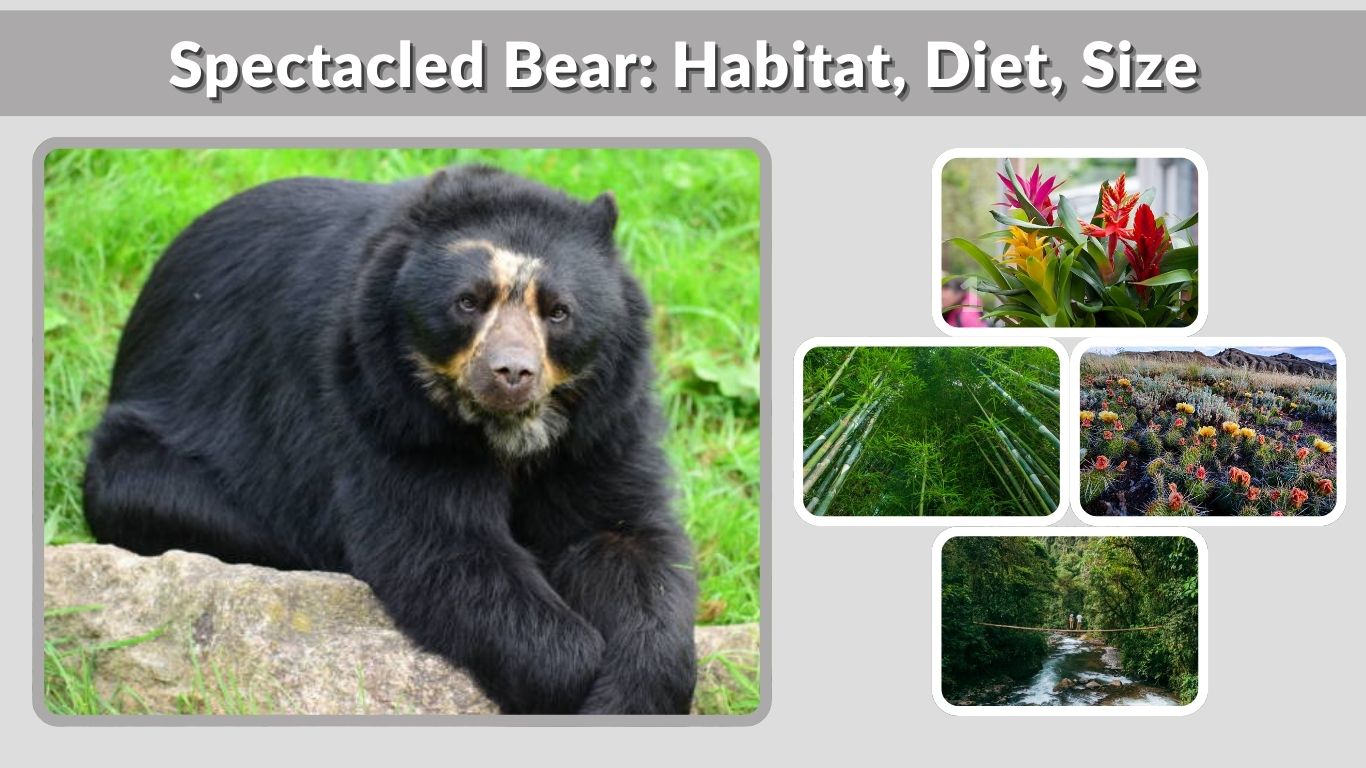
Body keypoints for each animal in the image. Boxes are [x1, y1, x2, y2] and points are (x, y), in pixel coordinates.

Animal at [81, 165, 698, 715]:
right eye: (468, 302)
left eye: (559, 312)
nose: (511, 373)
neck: (505, 431)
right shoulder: (381, 407)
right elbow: (438, 544)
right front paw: (571, 675)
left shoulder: (603, 424)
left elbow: (623, 538)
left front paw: (632, 691)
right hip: (157, 449)